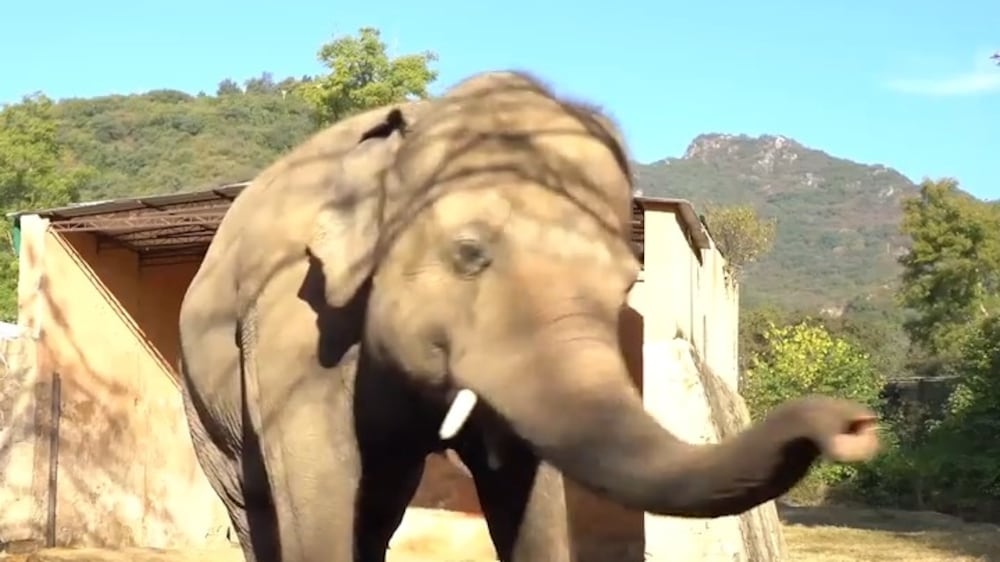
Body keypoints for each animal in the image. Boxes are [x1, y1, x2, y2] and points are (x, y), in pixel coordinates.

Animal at [176, 71, 880, 560]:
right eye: (470, 254)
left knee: (379, 504)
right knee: (257, 508)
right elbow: (319, 491)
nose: (857, 424)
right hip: (205, 411)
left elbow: (525, 488)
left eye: (626, 281)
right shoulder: (292, 319)